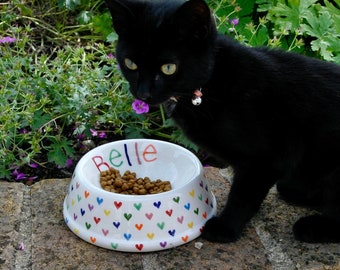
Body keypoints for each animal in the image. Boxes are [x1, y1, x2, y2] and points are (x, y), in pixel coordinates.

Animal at [105, 0, 340, 244]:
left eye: (168, 68)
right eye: (130, 64)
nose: (143, 94)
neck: (211, 82)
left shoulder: (266, 159)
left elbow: (243, 196)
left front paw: (226, 227)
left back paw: (312, 226)